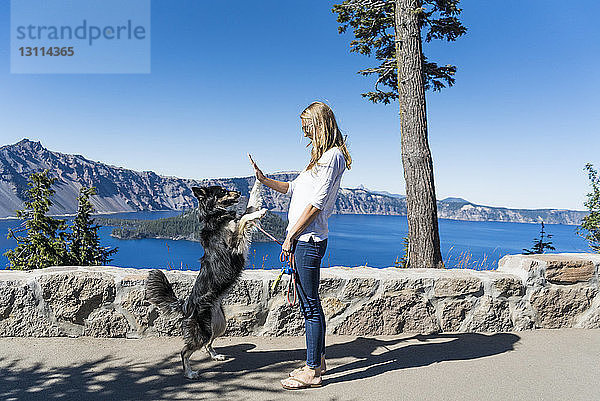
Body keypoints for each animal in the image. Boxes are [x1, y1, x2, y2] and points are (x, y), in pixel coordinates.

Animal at [145, 181, 264, 378]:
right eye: (222, 192)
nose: (239, 192)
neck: (215, 216)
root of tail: (187, 305)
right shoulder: (233, 246)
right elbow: (244, 218)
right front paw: (259, 213)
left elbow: (249, 207)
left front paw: (258, 181)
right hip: (202, 332)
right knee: (185, 351)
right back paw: (189, 373)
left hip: (219, 325)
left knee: (208, 344)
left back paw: (215, 356)